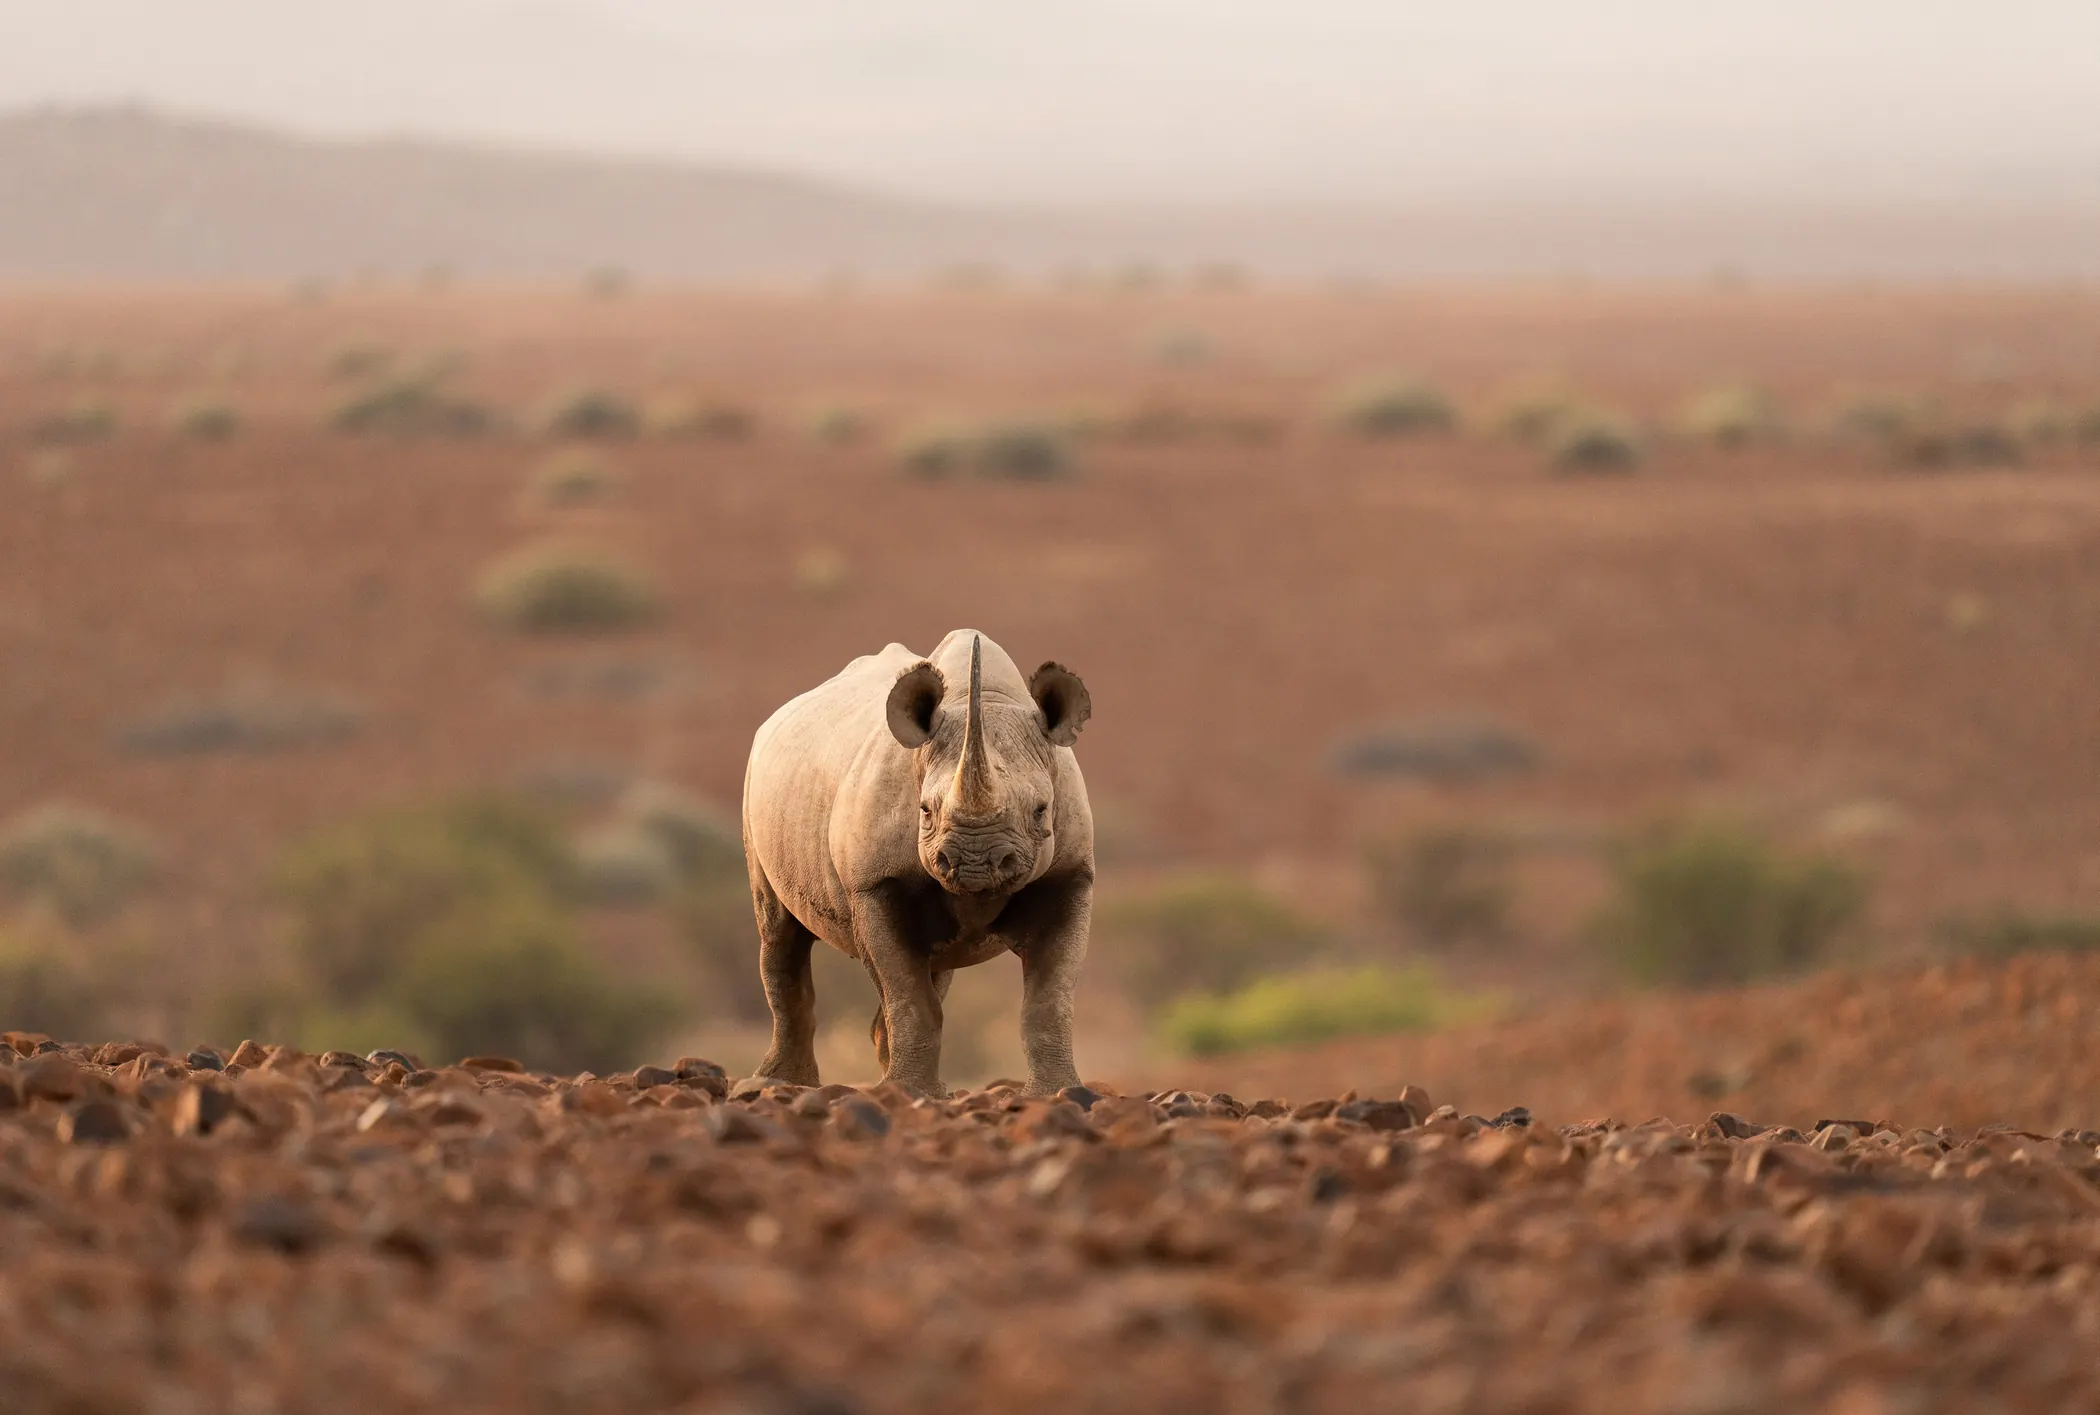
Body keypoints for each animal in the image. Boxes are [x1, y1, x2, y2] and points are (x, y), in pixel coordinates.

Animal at [741, 630, 1094, 1096]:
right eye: (925, 811)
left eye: (1041, 811)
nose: (975, 863)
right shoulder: (874, 883)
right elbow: (908, 995)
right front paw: (909, 1093)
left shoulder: (1069, 877)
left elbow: (1049, 999)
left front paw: (1059, 1092)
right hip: (754, 787)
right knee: (780, 930)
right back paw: (778, 1084)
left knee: (935, 966)